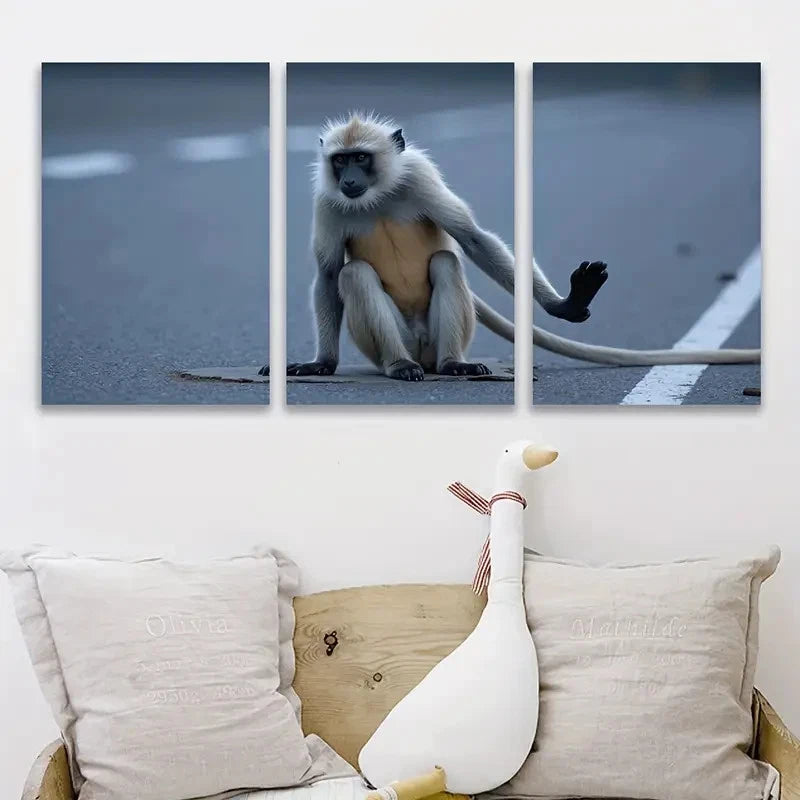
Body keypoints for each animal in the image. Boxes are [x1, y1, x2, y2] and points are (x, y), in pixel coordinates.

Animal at [262, 112, 759, 380]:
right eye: (340, 161)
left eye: (362, 158)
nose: (349, 179)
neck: (378, 196)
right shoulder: (328, 200)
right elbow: (329, 273)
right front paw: (321, 363)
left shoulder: (418, 175)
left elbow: (473, 240)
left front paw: (563, 304)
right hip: (382, 343)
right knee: (354, 275)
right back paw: (401, 365)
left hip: (440, 337)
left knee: (446, 261)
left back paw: (452, 365)